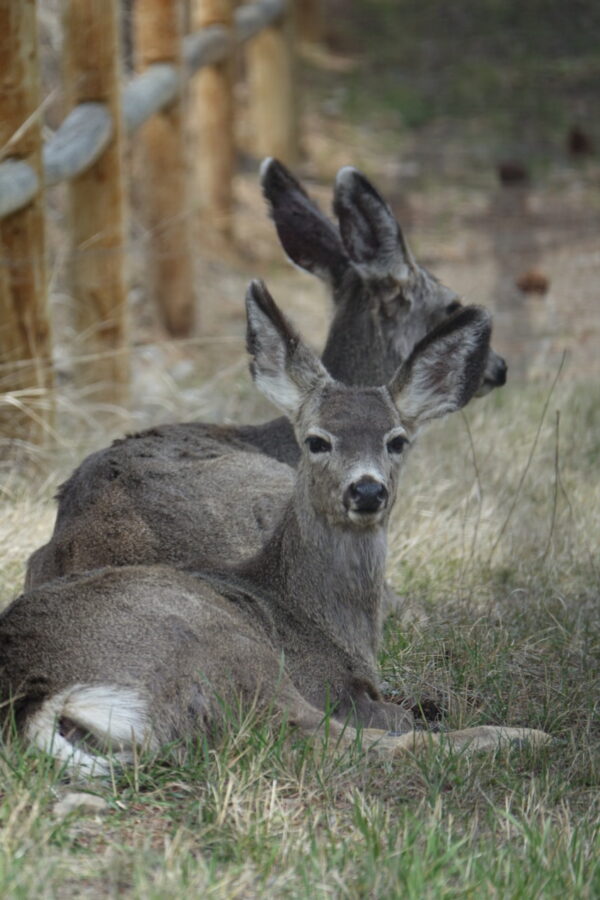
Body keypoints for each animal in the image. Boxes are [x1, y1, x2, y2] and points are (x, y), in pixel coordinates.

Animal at [0, 282, 548, 772]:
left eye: (397, 440)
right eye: (316, 440)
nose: (367, 490)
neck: (319, 619)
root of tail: (36, 693)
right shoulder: (327, 686)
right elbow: (395, 721)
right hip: (224, 654)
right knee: (330, 742)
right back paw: (522, 736)